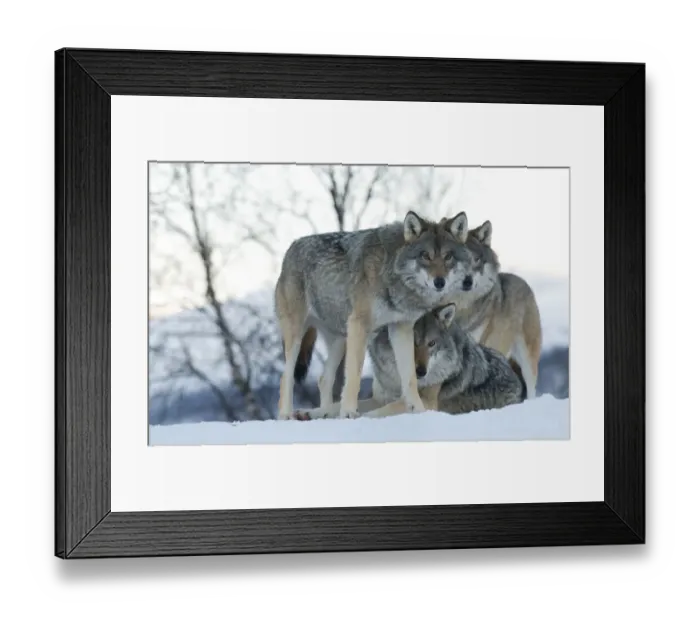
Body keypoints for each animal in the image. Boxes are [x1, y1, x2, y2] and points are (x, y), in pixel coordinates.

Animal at [274, 210, 475, 420]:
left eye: (448, 257)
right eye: (425, 256)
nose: (439, 282)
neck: (392, 272)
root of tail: (291, 248)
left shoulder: (401, 328)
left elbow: (410, 377)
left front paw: (419, 411)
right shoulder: (359, 325)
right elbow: (354, 375)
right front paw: (348, 413)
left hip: (340, 340)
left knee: (324, 379)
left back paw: (322, 413)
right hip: (298, 335)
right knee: (286, 376)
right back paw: (286, 415)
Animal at [293, 302, 525, 421]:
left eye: (431, 343)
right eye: (411, 342)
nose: (420, 371)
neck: (398, 379)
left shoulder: (425, 404)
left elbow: (379, 413)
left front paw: (359, 418)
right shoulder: (379, 398)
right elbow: (336, 405)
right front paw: (312, 412)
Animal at [449, 219, 543, 399]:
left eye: (476, 259)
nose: (467, 281)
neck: (461, 308)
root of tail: (522, 281)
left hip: (527, 358)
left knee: (531, 387)